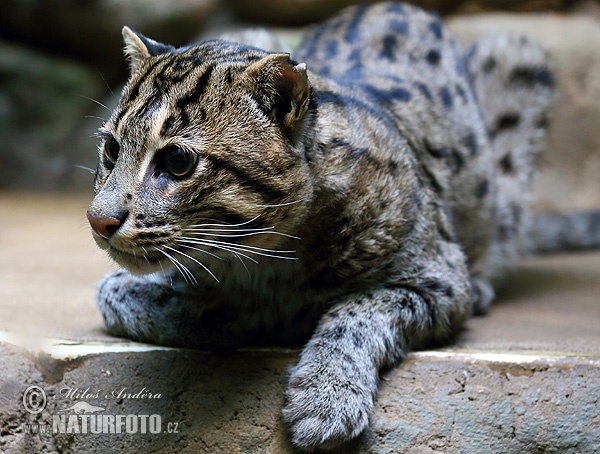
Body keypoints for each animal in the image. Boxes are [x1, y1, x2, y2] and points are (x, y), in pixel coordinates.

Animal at [84, 1, 580, 450]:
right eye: (110, 149)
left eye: (178, 160)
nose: (98, 219)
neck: (268, 255)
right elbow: (114, 294)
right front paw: (235, 316)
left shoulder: (438, 277)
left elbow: (361, 309)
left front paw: (325, 400)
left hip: (515, 68)